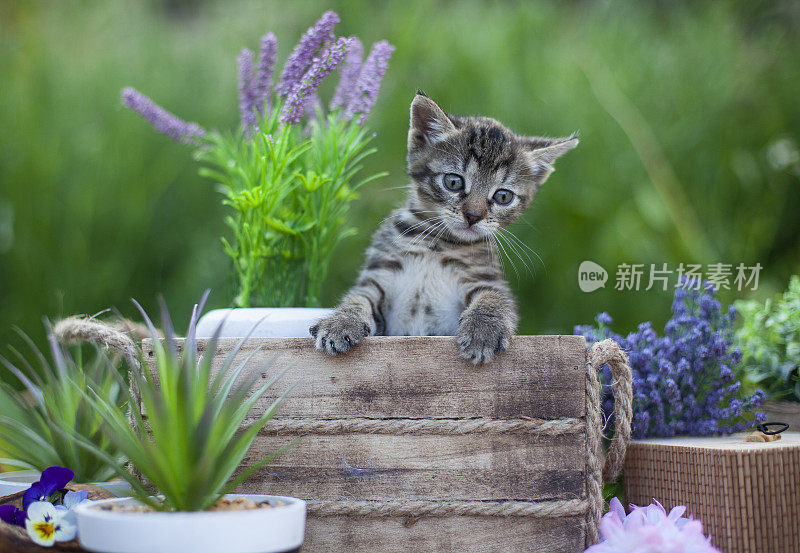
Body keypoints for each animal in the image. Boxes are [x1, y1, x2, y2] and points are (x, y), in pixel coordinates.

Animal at [310, 91, 580, 362]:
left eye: (503, 196)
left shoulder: (486, 278)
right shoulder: (379, 276)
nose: (473, 216)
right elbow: (358, 298)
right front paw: (340, 323)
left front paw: (483, 330)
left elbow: (493, 298)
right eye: (453, 182)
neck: (436, 244)